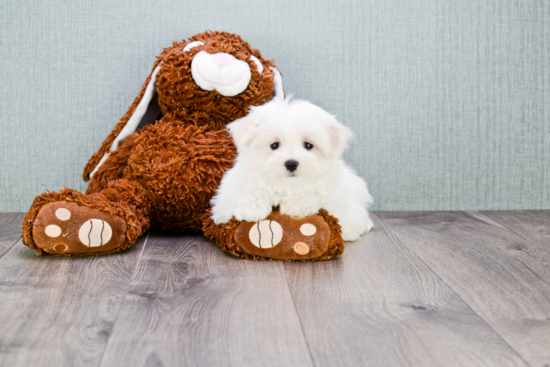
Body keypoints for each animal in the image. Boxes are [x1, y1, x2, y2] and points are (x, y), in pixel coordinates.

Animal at [211, 97, 376, 242]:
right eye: (274, 145)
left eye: (308, 145)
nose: (291, 163)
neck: (286, 185)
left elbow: (315, 193)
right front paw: (252, 207)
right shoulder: (226, 198)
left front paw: (298, 204)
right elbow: (245, 192)